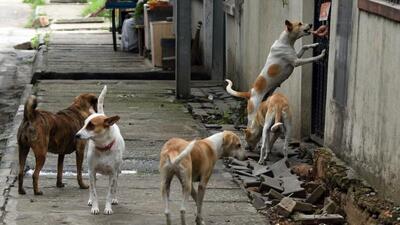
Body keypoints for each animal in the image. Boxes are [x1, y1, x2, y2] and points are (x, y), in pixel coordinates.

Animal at [75, 85, 125, 215]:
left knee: (115, 186)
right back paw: (90, 201)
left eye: (91, 125)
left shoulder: (113, 173)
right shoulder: (92, 172)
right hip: (91, 172)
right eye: (84, 124)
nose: (76, 135)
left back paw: (114, 199)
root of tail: (105, 115)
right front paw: (94, 207)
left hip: (117, 172)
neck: (103, 148)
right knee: (92, 188)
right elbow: (94, 192)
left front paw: (108, 207)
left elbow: (110, 192)